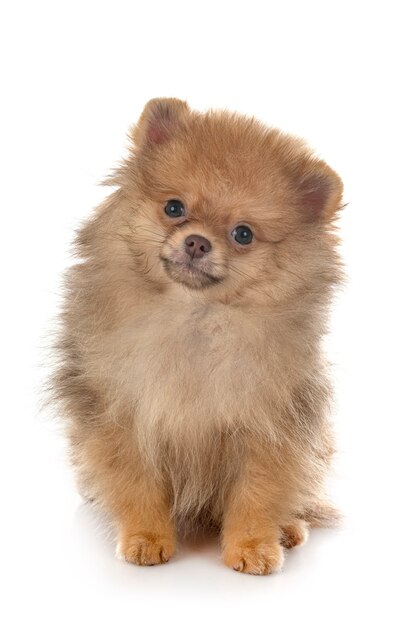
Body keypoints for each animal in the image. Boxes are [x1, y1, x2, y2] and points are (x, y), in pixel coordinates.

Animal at [53, 96, 342, 572]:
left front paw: (253, 546)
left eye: (243, 233)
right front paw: (146, 537)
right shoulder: (123, 415)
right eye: (174, 207)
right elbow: (137, 485)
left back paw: (288, 529)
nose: (196, 242)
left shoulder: (268, 426)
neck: (196, 319)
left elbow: (258, 494)